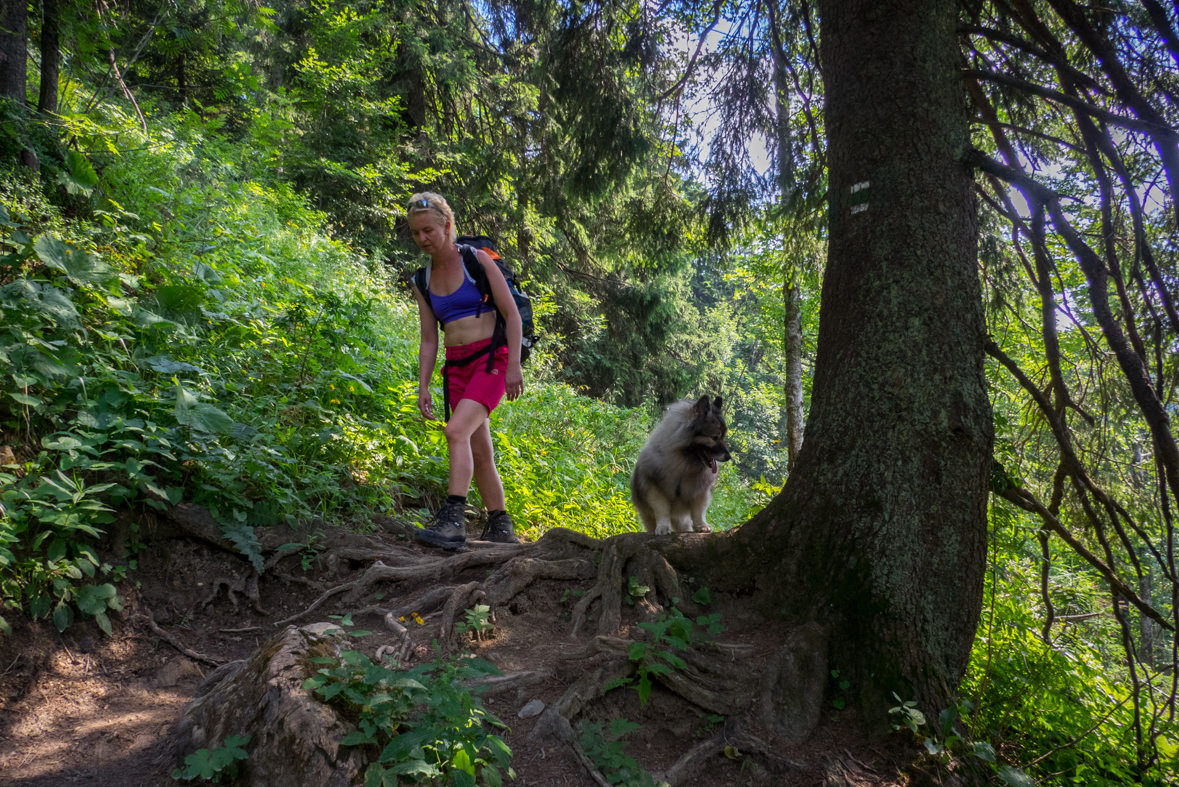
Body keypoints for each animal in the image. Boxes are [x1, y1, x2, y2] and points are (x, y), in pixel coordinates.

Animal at [631, 393, 730, 534]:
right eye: (714, 438)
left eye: (723, 437)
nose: (728, 457)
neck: (683, 464)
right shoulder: (655, 490)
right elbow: (662, 511)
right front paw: (663, 527)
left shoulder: (700, 492)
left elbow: (699, 512)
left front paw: (702, 526)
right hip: (647, 515)